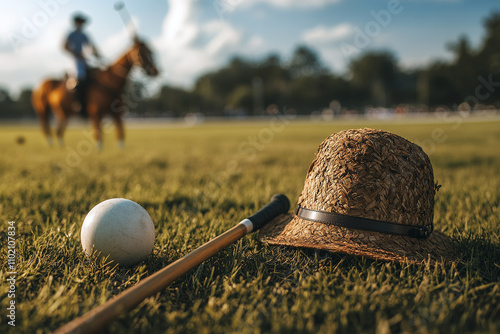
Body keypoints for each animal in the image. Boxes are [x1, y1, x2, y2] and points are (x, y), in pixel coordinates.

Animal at [30, 37, 158, 148]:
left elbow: (120, 132)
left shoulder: (117, 113)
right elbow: (98, 134)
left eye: (151, 52)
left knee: (58, 131)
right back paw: (51, 143)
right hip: (44, 109)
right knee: (48, 127)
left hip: (62, 112)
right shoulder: (95, 112)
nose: (155, 71)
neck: (110, 83)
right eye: (142, 53)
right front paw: (99, 149)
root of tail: (40, 86)